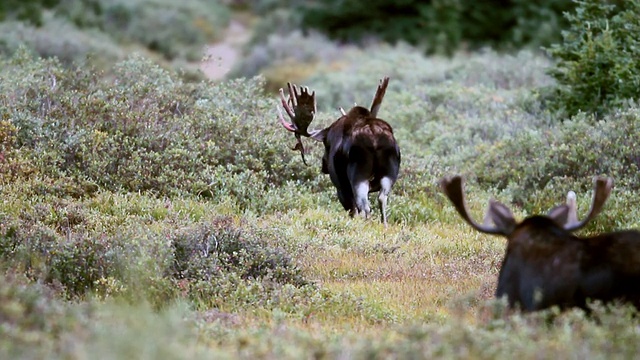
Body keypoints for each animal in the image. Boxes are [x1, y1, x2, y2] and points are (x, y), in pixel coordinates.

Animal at [276, 77, 400, 226]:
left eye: (326, 144)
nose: (324, 166)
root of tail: (374, 137)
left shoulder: (340, 187)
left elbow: (352, 211)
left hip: (357, 175)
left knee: (364, 206)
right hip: (389, 173)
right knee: (382, 198)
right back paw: (384, 225)